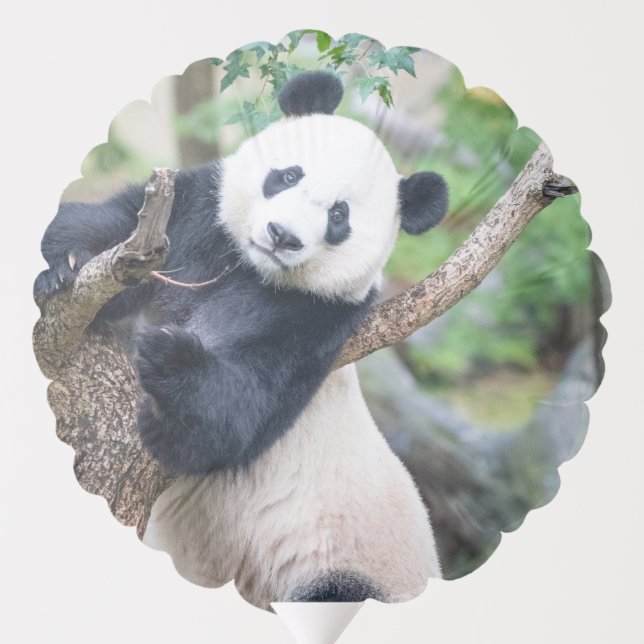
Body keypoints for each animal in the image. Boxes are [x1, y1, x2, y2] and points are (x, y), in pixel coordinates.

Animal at [35, 70, 448, 609]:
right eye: (288, 176)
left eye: (339, 216)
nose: (282, 234)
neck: (250, 268)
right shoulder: (197, 222)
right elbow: (123, 227)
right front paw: (67, 263)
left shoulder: (315, 321)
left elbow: (232, 424)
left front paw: (169, 362)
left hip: (346, 570)